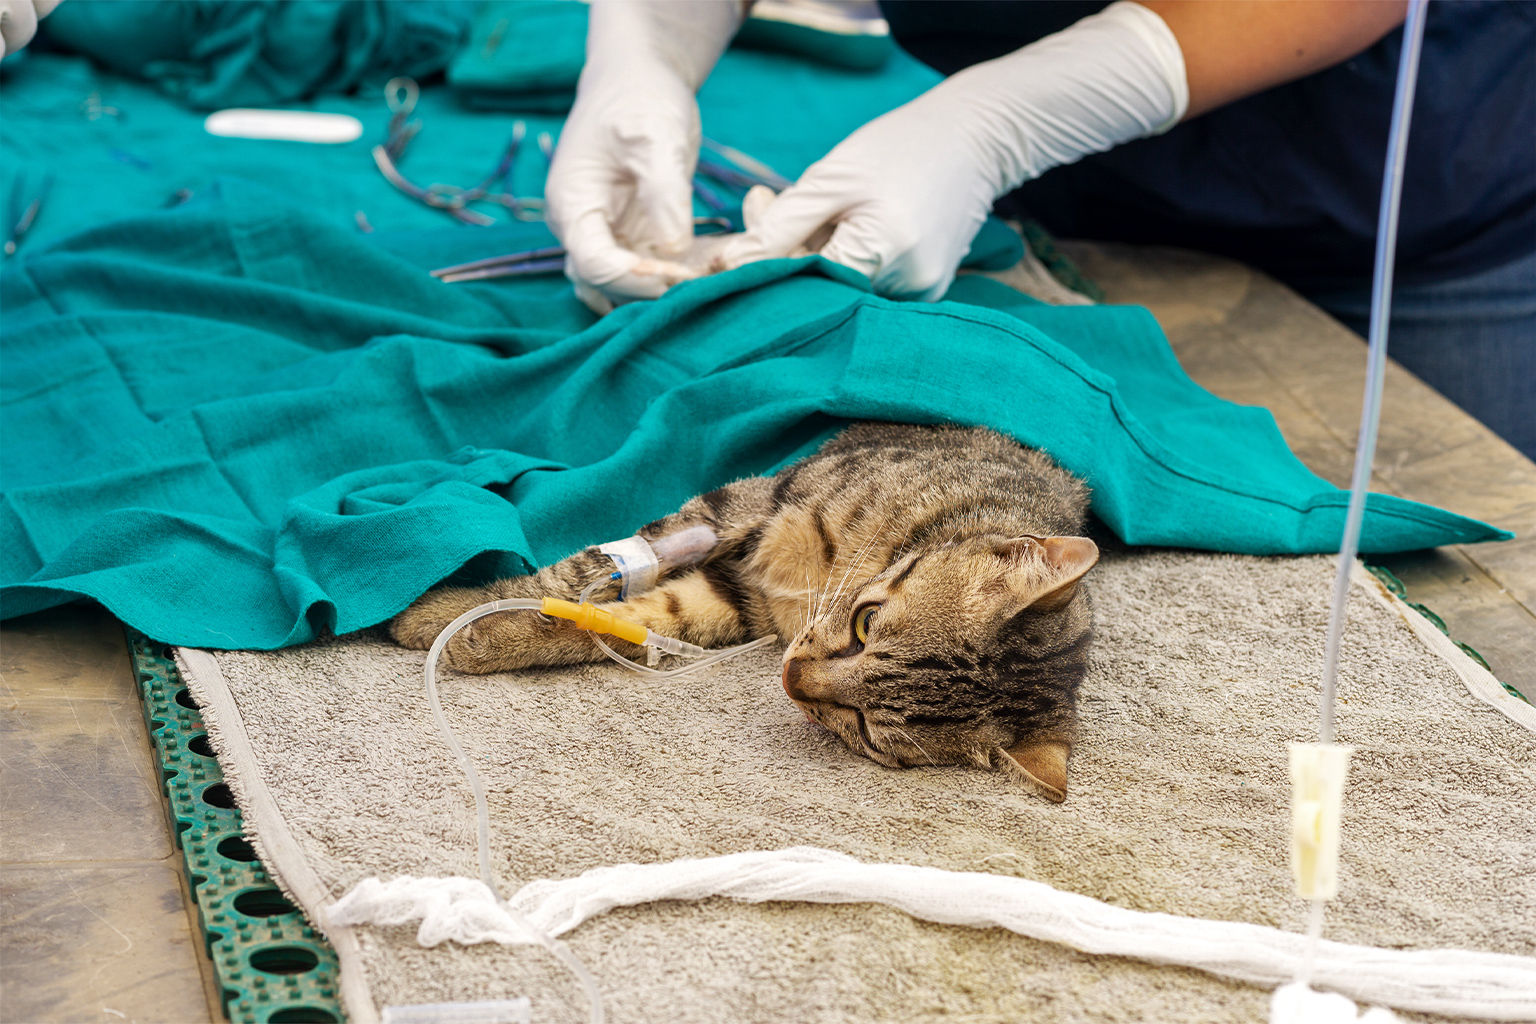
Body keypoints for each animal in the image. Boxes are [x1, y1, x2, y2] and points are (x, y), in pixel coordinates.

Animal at [390, 423, 1099, 798]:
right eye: (867, 623)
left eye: (868, 731)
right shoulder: (746, 505)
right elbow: (582, 570)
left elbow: (642, 617)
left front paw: (484, 633)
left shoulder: (735, 603)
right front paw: (445, 611)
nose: (791, 679)